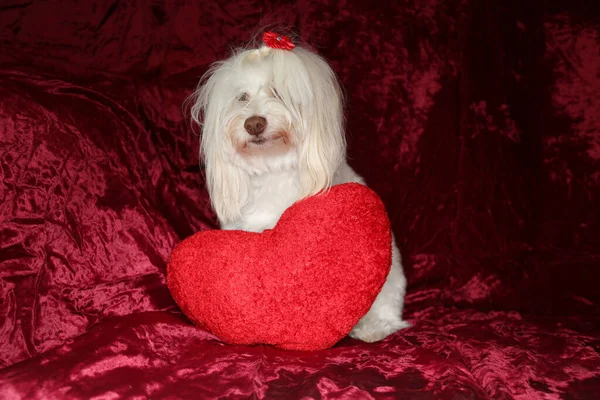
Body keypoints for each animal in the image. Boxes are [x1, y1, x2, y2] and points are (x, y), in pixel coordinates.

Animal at [190, 32, 410, 344]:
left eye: (278, 92)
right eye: (242, 97)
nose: (253, 123)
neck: (272, 168)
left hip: (391, 281)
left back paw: (374, 328)